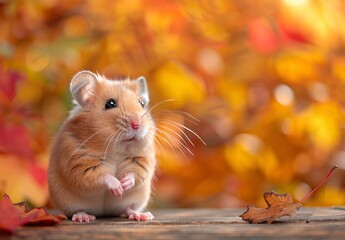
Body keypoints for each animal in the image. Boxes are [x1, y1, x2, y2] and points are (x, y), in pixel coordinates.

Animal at [47, 70, 155, 222]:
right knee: (78, 210)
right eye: (110, 103)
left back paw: (142, 215)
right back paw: (84, 217)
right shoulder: (79, 163)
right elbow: (102, 176)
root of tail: (104, 212)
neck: (117, 150)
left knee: (127, 208)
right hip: (69, 202)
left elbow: (135, 173)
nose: (136, 124)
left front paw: (125, 184)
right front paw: (118, 187)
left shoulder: (142, 159)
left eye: (142, 103)